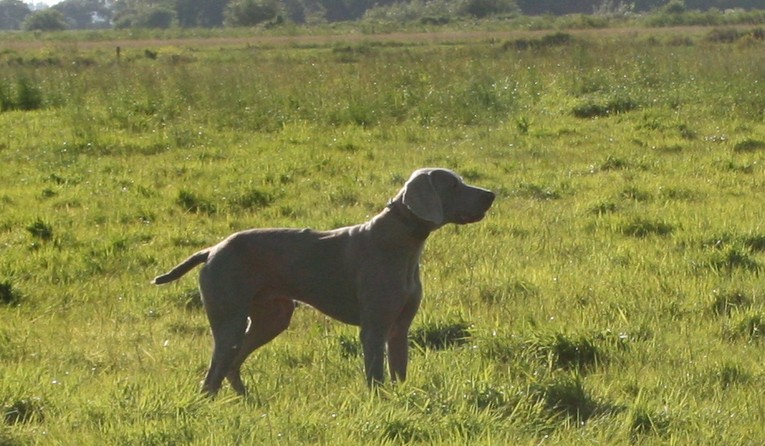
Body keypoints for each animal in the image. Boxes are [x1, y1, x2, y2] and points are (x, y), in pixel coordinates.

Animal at [152, 167, 496, 394]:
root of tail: (212, 249)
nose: (492, 195)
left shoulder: (400, 329)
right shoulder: (374, 329)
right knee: (212, 374)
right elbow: (376, 377)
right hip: (231, 320)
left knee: (231, 364)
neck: (402, 240)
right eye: (453, 184)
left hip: (273, 317)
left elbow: (399, 372)